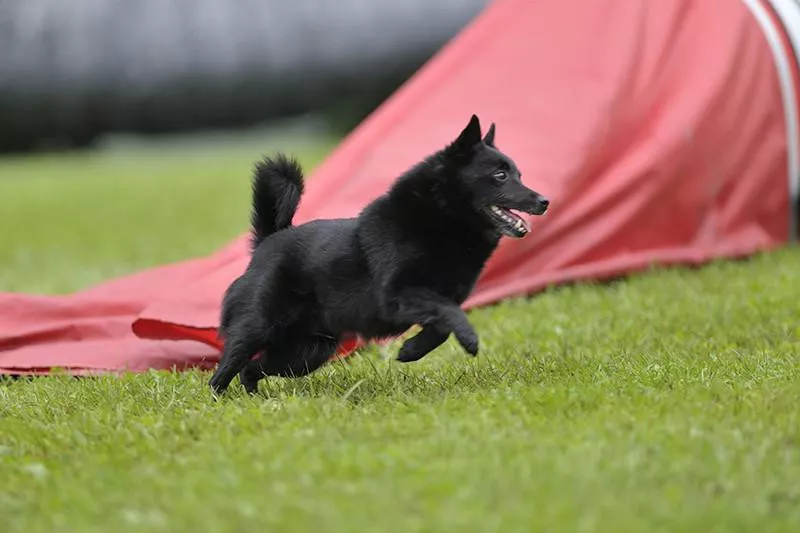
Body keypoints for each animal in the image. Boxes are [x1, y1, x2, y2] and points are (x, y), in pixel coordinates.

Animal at [208, 114, 552, 392]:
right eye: (500, 176)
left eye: (519, 174)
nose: (544, 201)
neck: (441, 219)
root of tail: (268, 240)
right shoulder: (395, 295)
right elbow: (450, 313)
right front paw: (467, 339)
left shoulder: (433, 298)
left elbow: (441, 325)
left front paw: (411, 350)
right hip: (258, 327)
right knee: (226, 368)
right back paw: (220, 401)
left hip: (307, 353)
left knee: (252, 368)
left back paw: (255, 398)